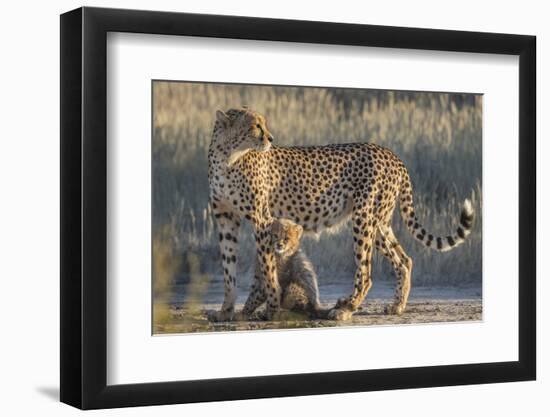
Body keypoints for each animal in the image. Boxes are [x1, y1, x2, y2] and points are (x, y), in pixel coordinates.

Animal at [207, 106, 474, 318]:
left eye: (263, 124)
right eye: (256, 126)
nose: (270, 138)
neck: (227, 157)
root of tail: (390, 152)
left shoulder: (262, 219)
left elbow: (267, 266)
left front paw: (270, 308)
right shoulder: (225, 218)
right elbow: (229, 269)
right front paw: (226, 311)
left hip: (363, 218)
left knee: (366, 270)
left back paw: (346, 307)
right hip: (379, 222)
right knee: (404, 260)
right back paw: (396, 306)